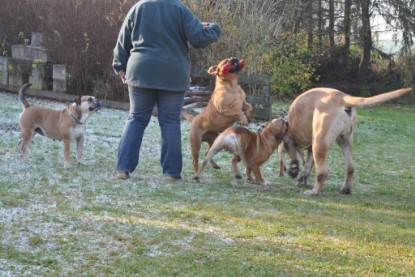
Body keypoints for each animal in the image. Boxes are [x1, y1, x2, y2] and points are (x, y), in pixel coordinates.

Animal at [282, 86, 412, 194]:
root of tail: (343, 98)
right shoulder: (310, 149)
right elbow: (308, 166)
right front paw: (302, 179)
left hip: (319, 143)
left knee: (322, 173)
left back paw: (313, 192)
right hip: (345, 142)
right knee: (350, 168)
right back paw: (346, 189)